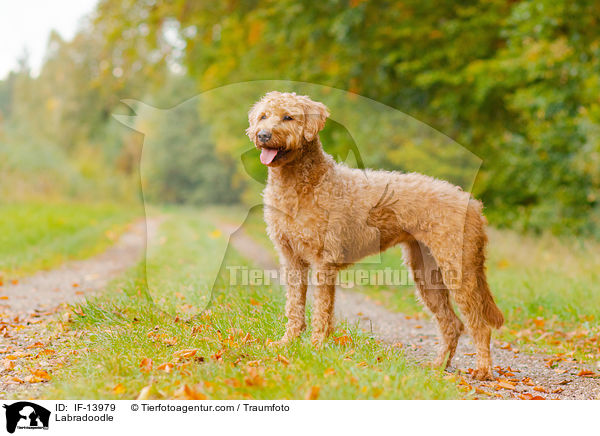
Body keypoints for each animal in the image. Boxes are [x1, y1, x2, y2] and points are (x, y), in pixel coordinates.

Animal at [246, 90, 504, 380]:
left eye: (288, 117)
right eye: (263, 116)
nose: (263, 135)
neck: (301, 183)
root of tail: (472, 203)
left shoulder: (324, 260)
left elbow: (322, 309)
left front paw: (316, 347)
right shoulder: (291, 259)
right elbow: (294, 306)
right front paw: (287, 343)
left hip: (459, 270)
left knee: (478, 324)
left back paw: (482, 369)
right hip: (426, 272)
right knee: (452, 323)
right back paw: (438, 366)